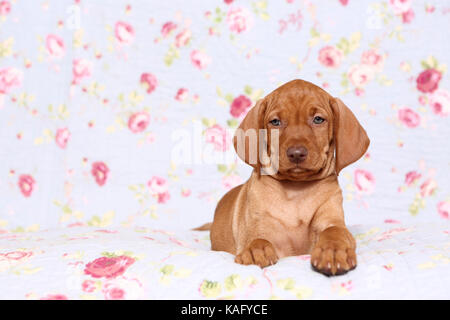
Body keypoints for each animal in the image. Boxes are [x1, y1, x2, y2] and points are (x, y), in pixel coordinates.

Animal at [203, 79, 370, 276]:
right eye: (275, 122)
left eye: (318, 119)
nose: (296, 153)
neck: (295, 191)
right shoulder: (259, 225)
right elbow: (257, 238)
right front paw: (255, 251)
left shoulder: (332, 220)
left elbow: (334, 232)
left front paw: (333, 251)